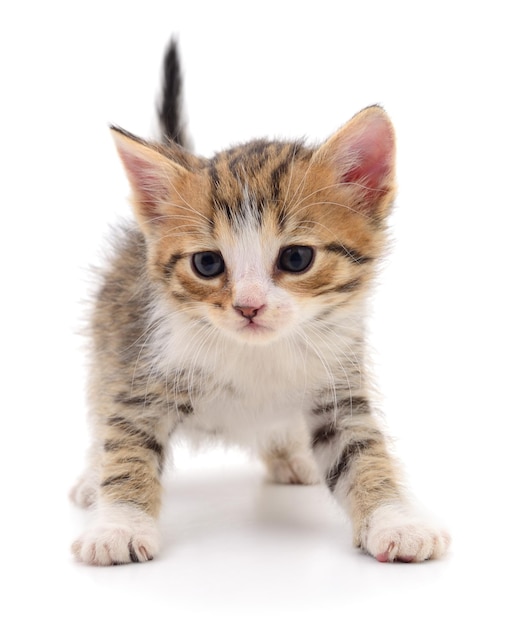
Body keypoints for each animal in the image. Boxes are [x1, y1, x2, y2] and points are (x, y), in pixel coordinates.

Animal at [70, 41, 450, 564]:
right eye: (207, 264)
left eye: (296, 257)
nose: (248, 307)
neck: (257, 354)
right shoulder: (142, 374)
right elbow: (126, 446)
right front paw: (118, 526)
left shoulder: (338, 385)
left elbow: (361, 451)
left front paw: (395, 520)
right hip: (109, 337)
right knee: (99, 408)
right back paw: (91, 477)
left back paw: (290, 456)